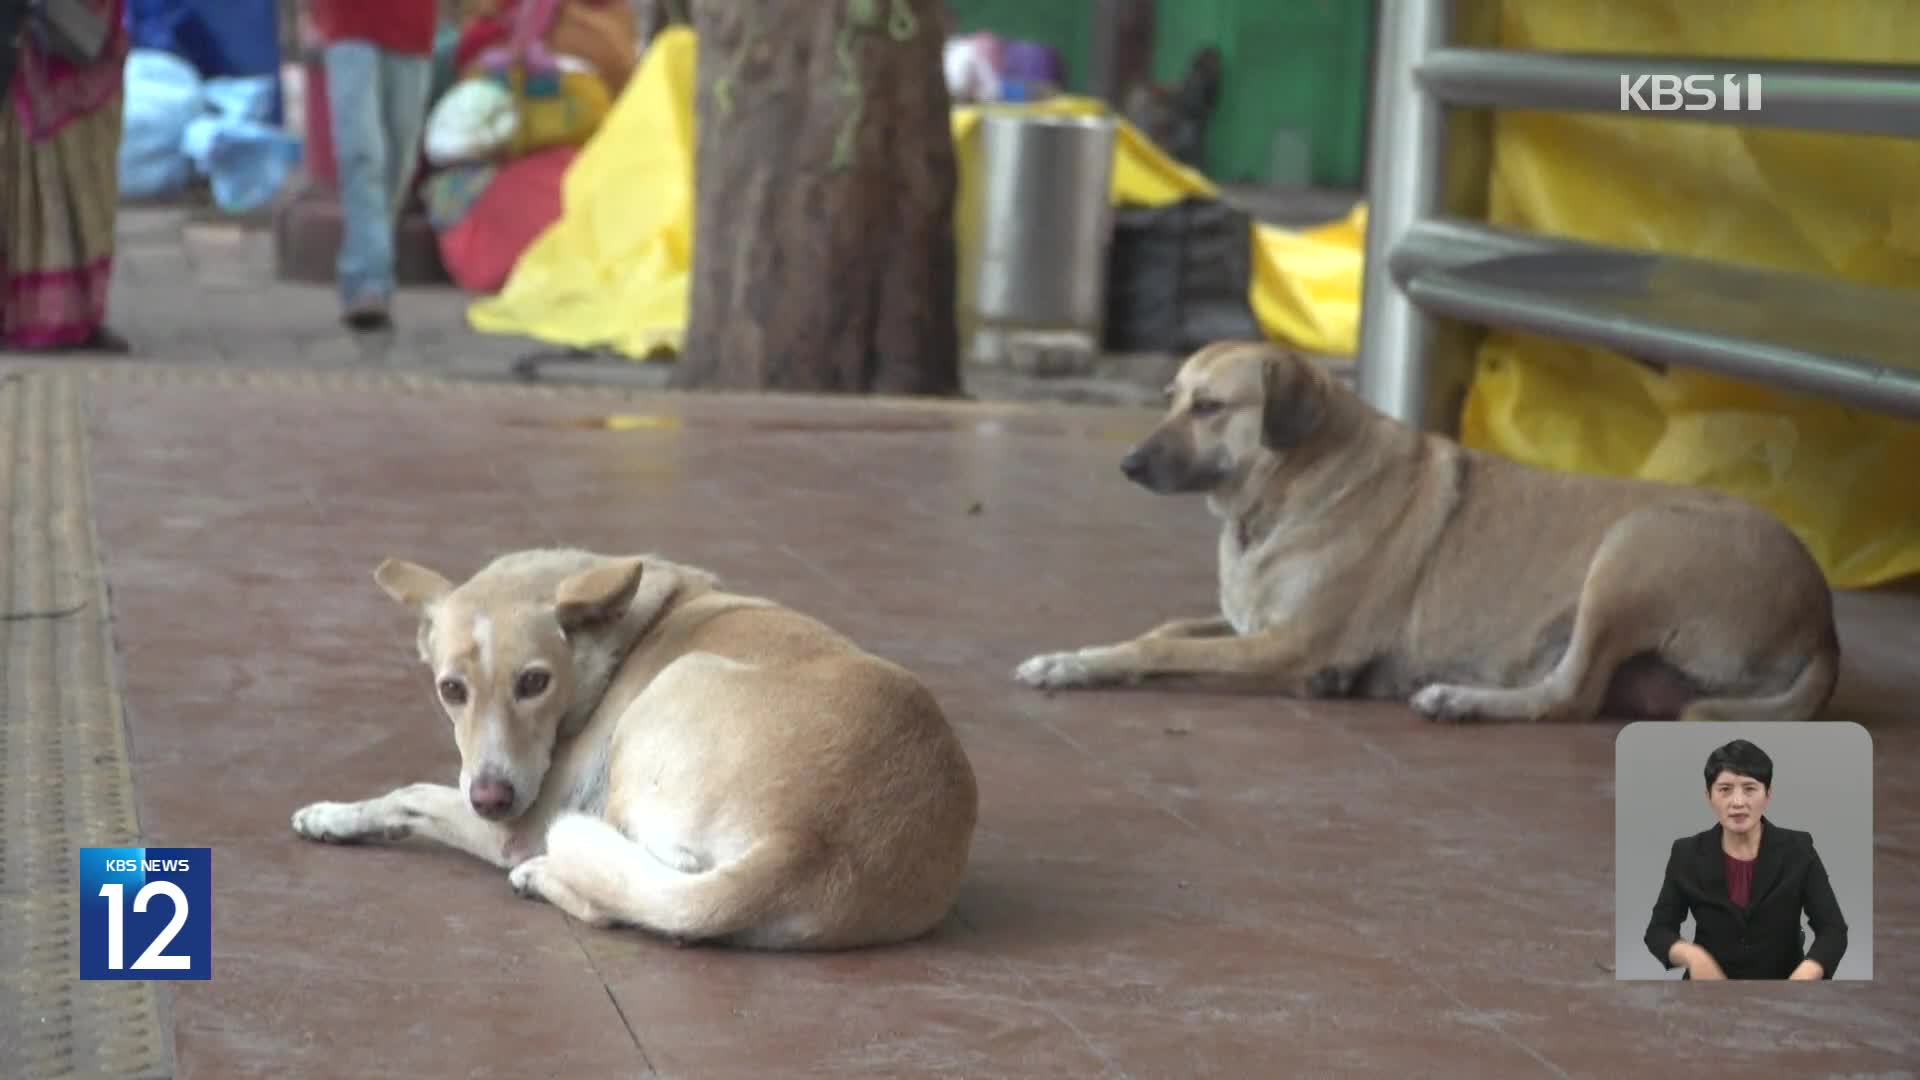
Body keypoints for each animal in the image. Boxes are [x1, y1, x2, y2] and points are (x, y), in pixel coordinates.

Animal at [291, 545, 983, 941]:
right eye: (451, 690)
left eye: (534, 682)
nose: (491, 797)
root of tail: (808, 842)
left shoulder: (518, 822)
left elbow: (409, 792)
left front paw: (332, 814)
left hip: (670, 695)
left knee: (621, 896)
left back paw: (540, 875)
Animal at [1021, 340, 1843, 718]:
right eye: (1170, 397)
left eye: (1210, 408)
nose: (1127, 464)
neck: (1289, 488)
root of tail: (1824, 617)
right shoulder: (1255, 624)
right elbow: (1164, 629)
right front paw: (1074, 657)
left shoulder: (1294, 644)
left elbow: (1160, 646)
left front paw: (1075, 666)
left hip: (1631, 550)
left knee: (1569, 694)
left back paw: (1462, 700)